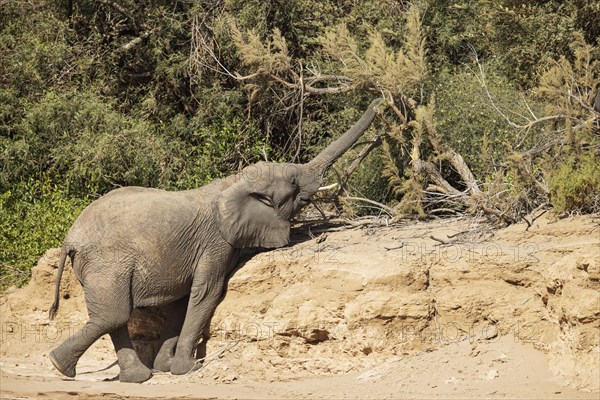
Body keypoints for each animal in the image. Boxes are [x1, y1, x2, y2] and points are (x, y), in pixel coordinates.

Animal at [49, 98, 382, 382]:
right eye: (292, 183)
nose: (380, 103)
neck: (233, 182)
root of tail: (70, 238)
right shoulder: (215, 241)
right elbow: (207, 291)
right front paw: (187, 368)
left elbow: (183, 301)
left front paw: (167, 366)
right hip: (107, 262)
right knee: (114, 314)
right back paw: (59, 366)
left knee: (116, 317)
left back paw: (136, 377)